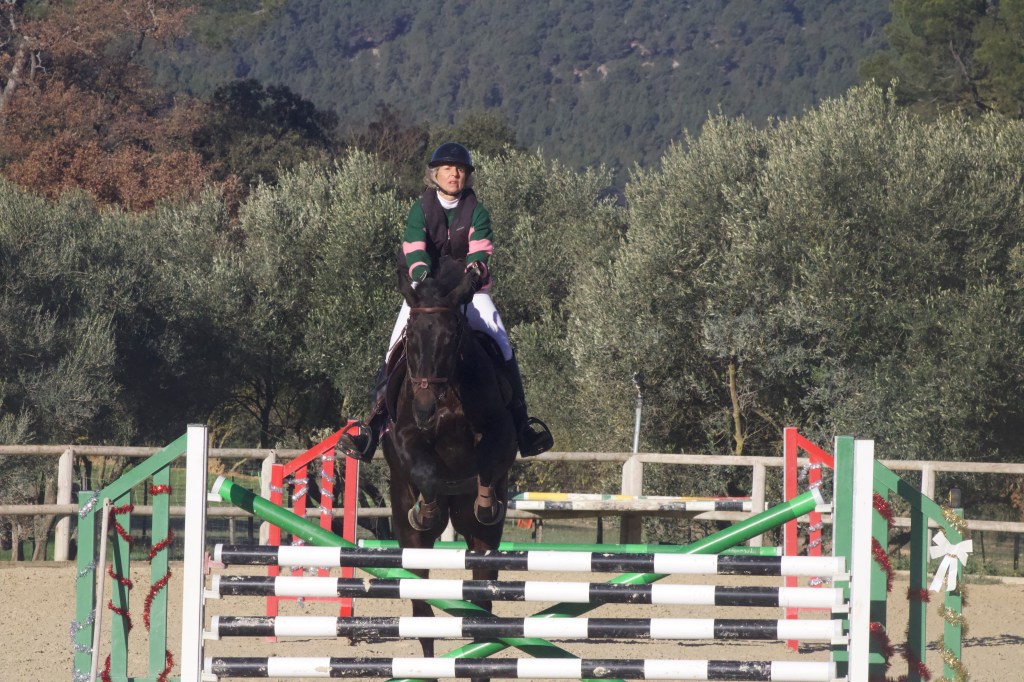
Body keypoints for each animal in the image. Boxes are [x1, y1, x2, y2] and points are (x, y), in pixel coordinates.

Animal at [381, 256, 519, 670]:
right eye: (410, 338)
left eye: (450, 339)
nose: (426, 409)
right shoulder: (405, 434)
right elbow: (425, 471)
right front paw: (426, 508)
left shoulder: (503, 433)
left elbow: (490, 461)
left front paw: (486, 502)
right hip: (411, 542)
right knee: (422, 611)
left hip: (484, 545)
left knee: (480, 601)